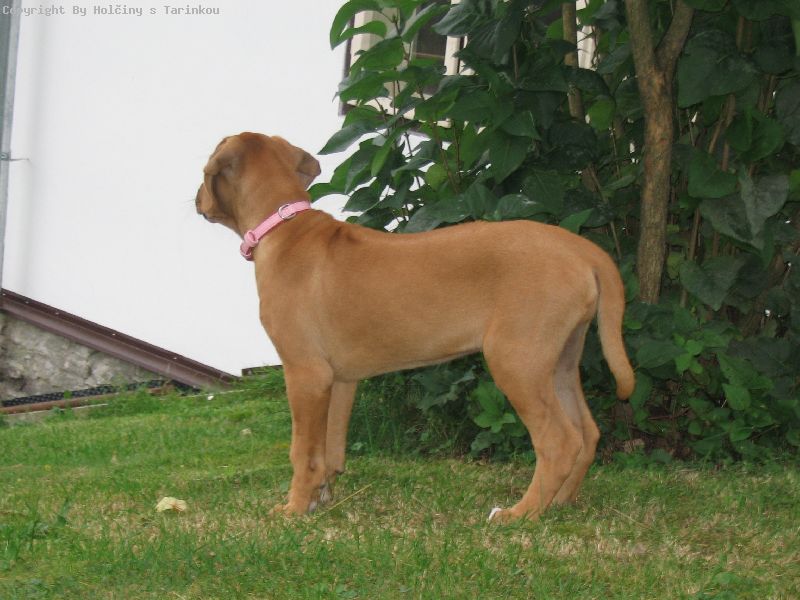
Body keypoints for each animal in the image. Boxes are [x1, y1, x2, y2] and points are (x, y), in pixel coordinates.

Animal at [196, 132, 635, 522]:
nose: (196, 199)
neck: (282, 226)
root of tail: (581, 247)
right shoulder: (339, 379)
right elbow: (330, 449)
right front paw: (320, 498)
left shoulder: (305, 373)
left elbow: (302, 451)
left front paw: (293, 509)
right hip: (559, 359)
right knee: (587, 433)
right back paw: (558, 504)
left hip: (516, 360)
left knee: (559, 441)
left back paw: (520, 513)